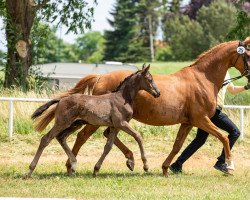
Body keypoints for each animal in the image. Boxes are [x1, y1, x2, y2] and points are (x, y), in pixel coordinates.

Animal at [25, 64, 160, 178]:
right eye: (149, 79)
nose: (157, 93)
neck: (122, 98)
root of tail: (61, 100)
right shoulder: (121, 123)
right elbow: (138, 137)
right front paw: (146, 166)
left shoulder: (115, 126)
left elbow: (108, 147)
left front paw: (96, 169)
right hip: (62, 123)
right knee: (46, 139)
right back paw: (29, 171)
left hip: (75, 124)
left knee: (61, 137)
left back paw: (73, 165)